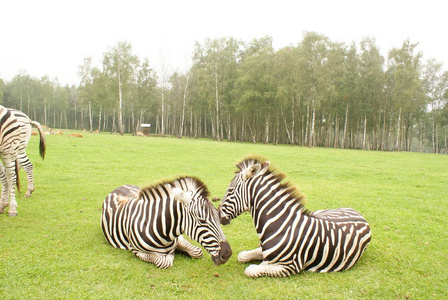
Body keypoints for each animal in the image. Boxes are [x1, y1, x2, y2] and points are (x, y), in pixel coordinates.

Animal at [102, 176, 233, 270]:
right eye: (202, 221)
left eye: (218, 218)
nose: (227, 254)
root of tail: (119, 187)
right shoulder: (136, 250)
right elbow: (164, 261)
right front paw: (171, 255)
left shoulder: (178, 237)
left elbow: (197, 251)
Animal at [220, 157, 372, 278]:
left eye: (230, 191)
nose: (218, 215)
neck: (281, 225)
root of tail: (357, 212)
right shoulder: (264, 252)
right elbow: (242, 255)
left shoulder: (291, 266)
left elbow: (251, 269)